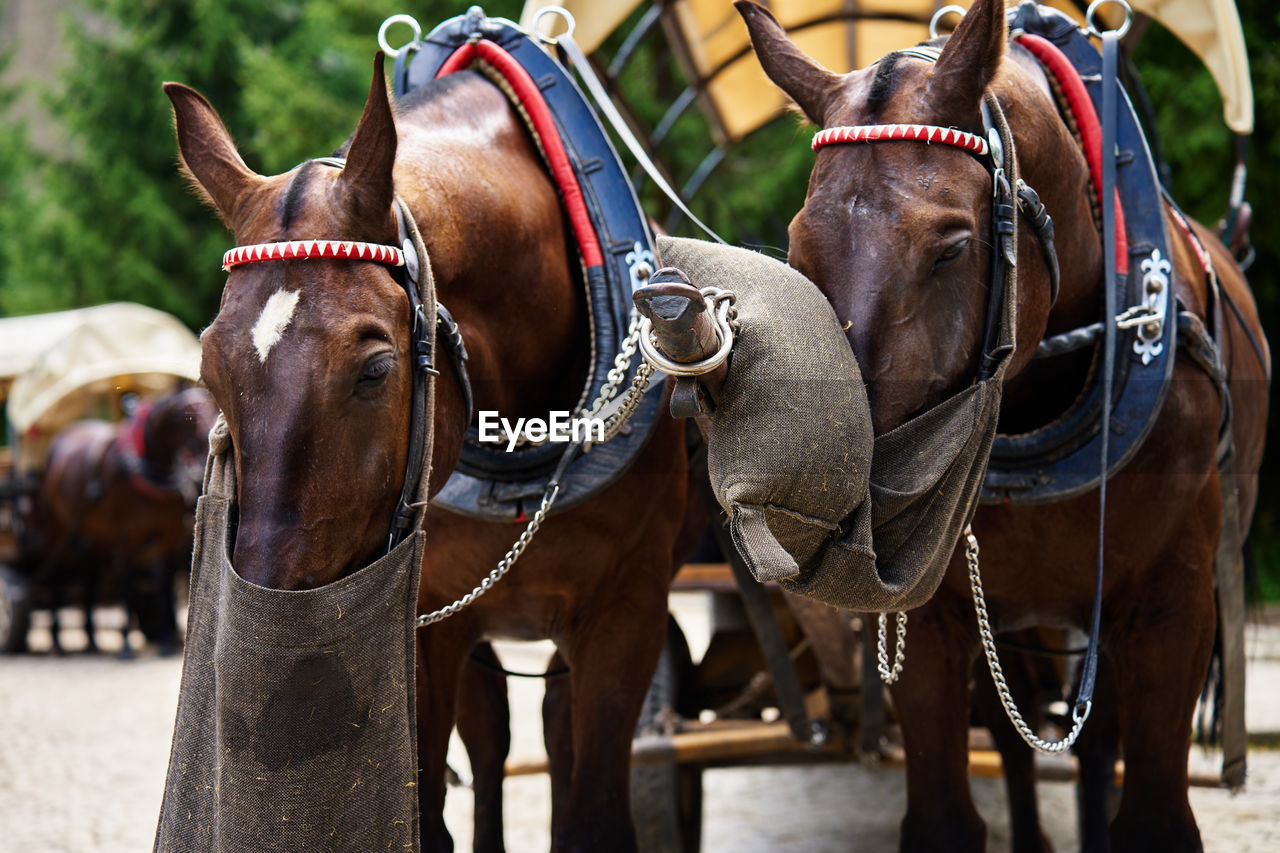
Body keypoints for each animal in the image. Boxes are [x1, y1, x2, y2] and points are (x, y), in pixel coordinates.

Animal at [31, 384, 216, 655]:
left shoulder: (168, 534)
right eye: (184, 415)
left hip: (94, 535)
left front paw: (165, 640)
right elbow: (126, 581)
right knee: (56, 573)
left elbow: (165, 581)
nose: (206, 447)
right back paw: (56, 638)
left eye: (211, 408)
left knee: (90, 576)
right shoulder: (127, 537)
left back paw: (92, 638)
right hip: (57, 529)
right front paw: (127, 643)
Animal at [742, 0, 1269, 845]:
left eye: (952, 249)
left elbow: (1149, 809)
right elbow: (946, 811)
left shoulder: (1171, 604)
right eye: (797, 247)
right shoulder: (933, 615)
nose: (841, 497)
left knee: (1094, 745)